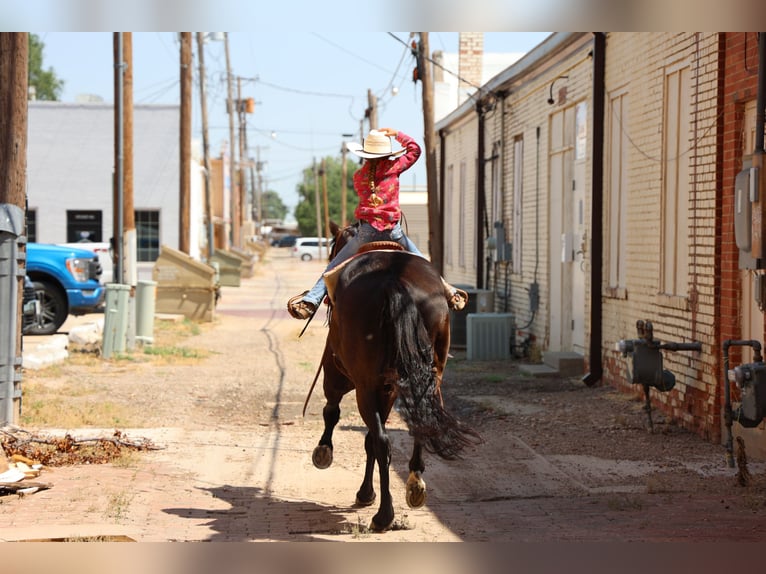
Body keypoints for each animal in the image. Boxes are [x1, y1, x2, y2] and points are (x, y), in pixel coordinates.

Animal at [306, 223, 480, 532]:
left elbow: (333, 412)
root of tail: (392, 283)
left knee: (381, 440)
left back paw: (383, 515)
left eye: (333, 247)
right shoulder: (388, 389)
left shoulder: (336, 374)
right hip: (426, 379)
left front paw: (325, 453)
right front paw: (367, 492)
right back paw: (415, 486)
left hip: (363, 386)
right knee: (420, 425)